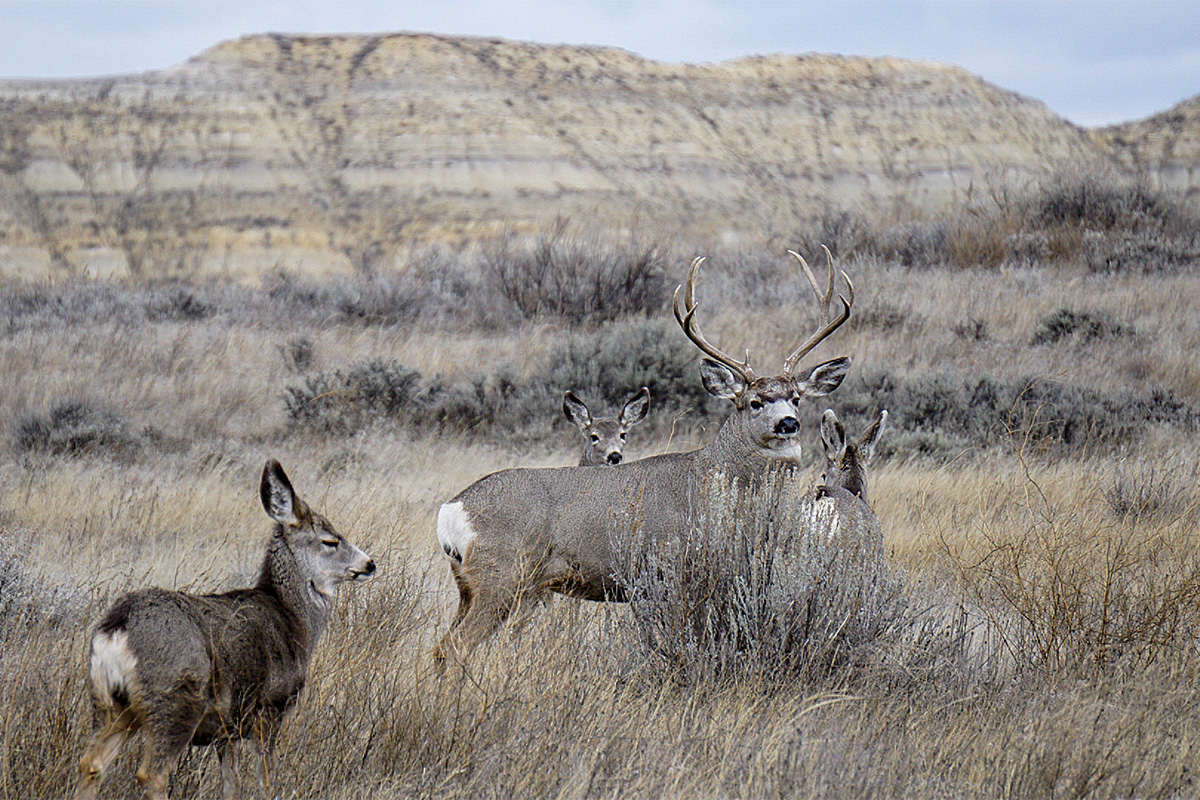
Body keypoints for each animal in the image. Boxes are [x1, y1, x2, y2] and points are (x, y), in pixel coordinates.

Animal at [73, 460, 372, 800]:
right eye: (330, 541)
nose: (369, 563)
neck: (293, 619)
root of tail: (117, 628)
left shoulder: (226, 728)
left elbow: (232, 785)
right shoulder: (270, 706)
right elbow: (265, 780)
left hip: (107, 701)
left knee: (90, 764)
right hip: (174, 701)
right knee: (151, 774)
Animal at [436, 248, 859, 662]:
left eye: (796, 398)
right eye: (754, 402)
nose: (788, 423)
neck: (713, 475)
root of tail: (452, 509)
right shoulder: (666, 570)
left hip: (474, 586)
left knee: (442, 647)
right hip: (501, 574)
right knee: (455, 647)